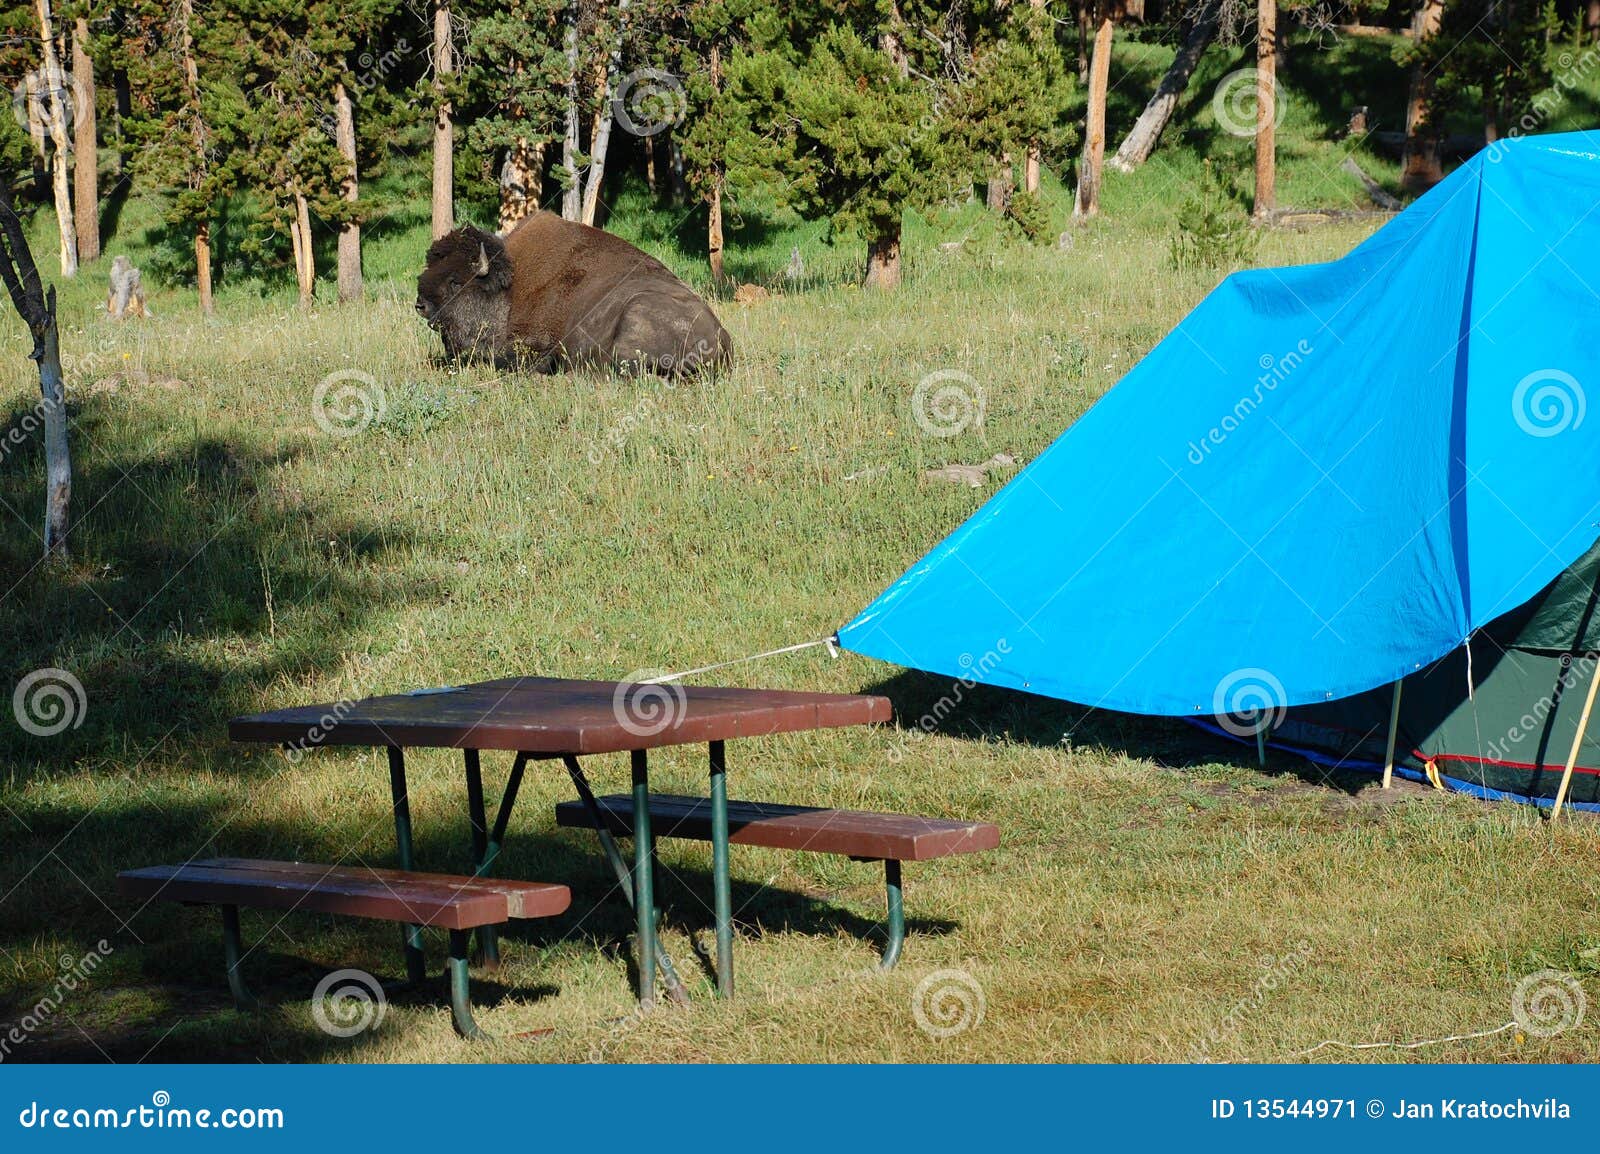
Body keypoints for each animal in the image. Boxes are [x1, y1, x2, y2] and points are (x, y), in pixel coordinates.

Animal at [416, 213, 732, 377]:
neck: (510, 284)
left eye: (456, 281)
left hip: (636, 315)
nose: (421, 305)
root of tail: (724, 341)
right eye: (427, 268)